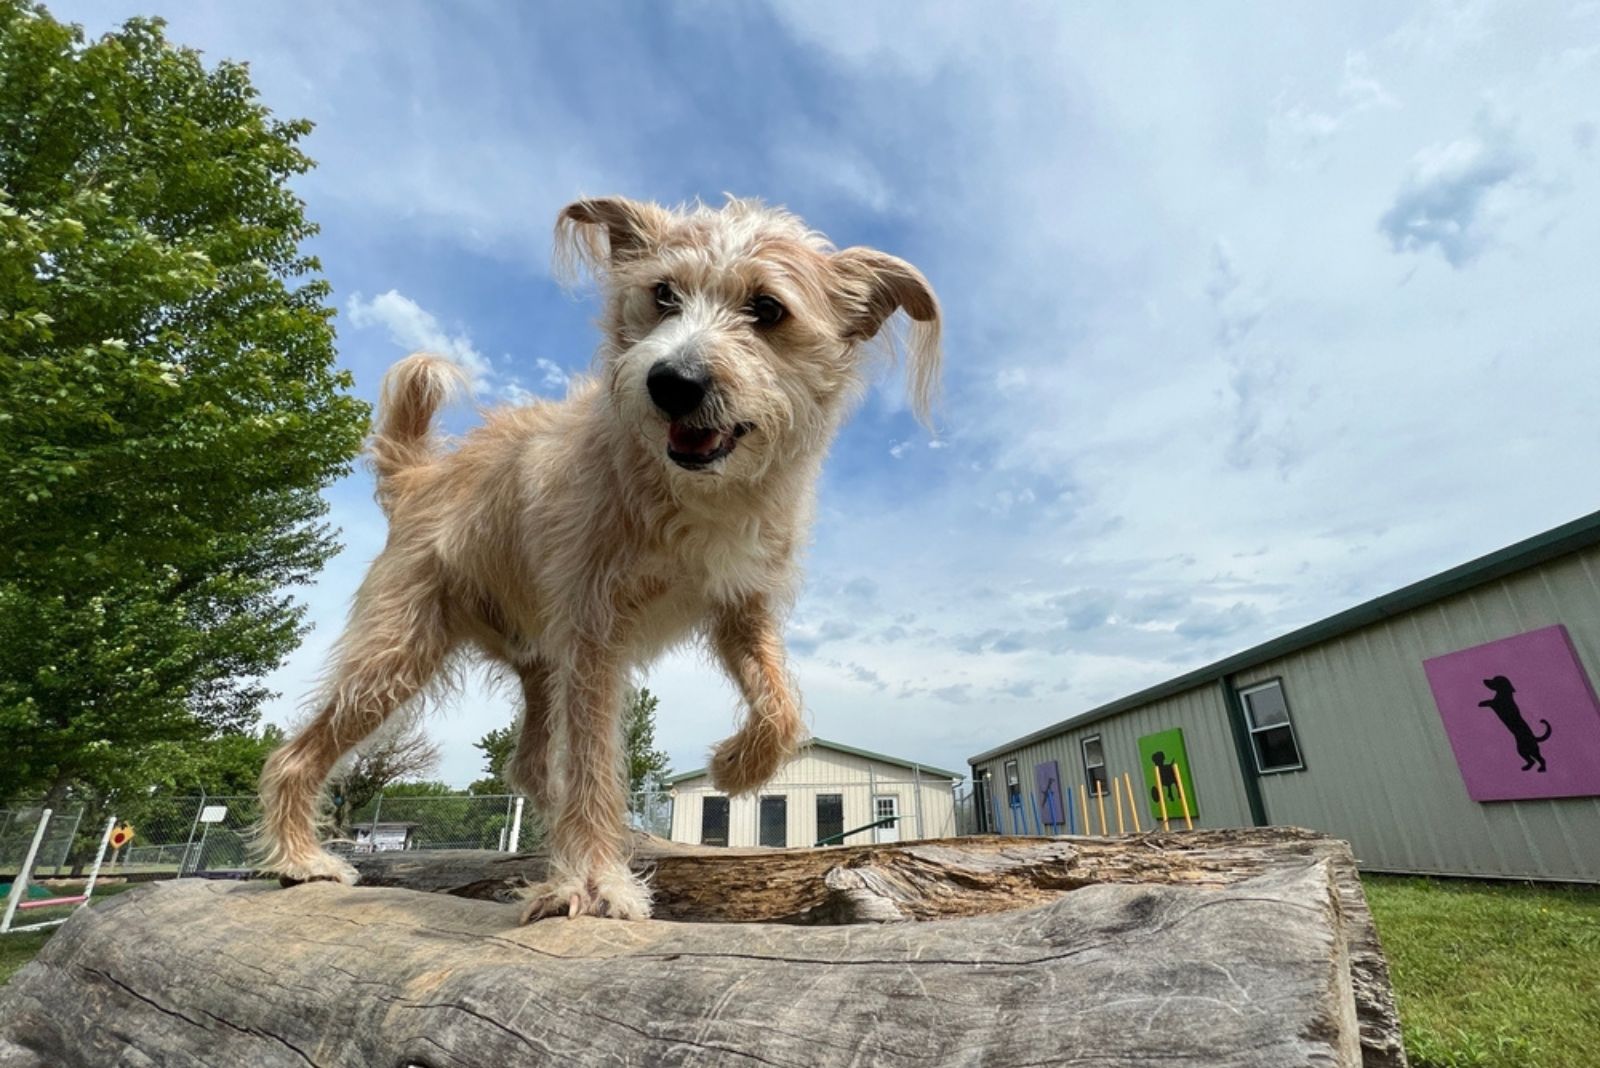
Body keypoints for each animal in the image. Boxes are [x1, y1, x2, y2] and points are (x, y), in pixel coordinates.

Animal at [257, 195, 940, 920]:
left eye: (767, 309)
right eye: (663, 294)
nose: (672, 382)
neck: (693, 493)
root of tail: (419, 478)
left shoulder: (740, 610)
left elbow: (781, 711)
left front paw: (736, 765)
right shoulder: (594, 634)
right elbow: (590, 759)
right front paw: (590, 882)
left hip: (537, 662)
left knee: (530, 764)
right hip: (396, 653)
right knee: (297, 755)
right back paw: (300, 859)